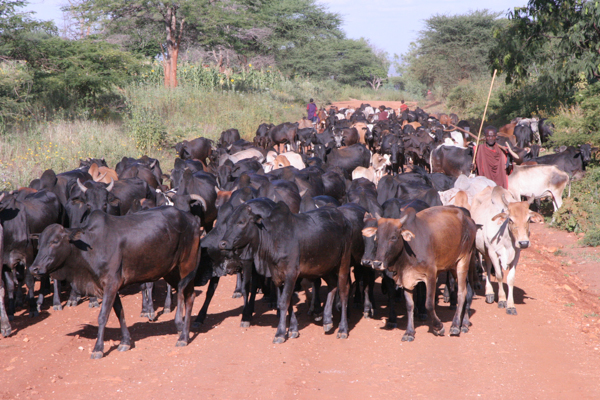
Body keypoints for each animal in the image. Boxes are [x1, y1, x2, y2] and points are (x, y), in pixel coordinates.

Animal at [360, 206, 478, 340]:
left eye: (393, 237)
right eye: (377, 237)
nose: (377, 263)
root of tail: (469, 221)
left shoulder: (431, 275)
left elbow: (429, 304)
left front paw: (438, 327)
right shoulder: (406, 279)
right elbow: (409, 305)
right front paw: (409, 332)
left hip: (463, 261)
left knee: (462, 293)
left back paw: (455, 325)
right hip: (453, 266)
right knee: (468, 291)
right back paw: (464, 323)